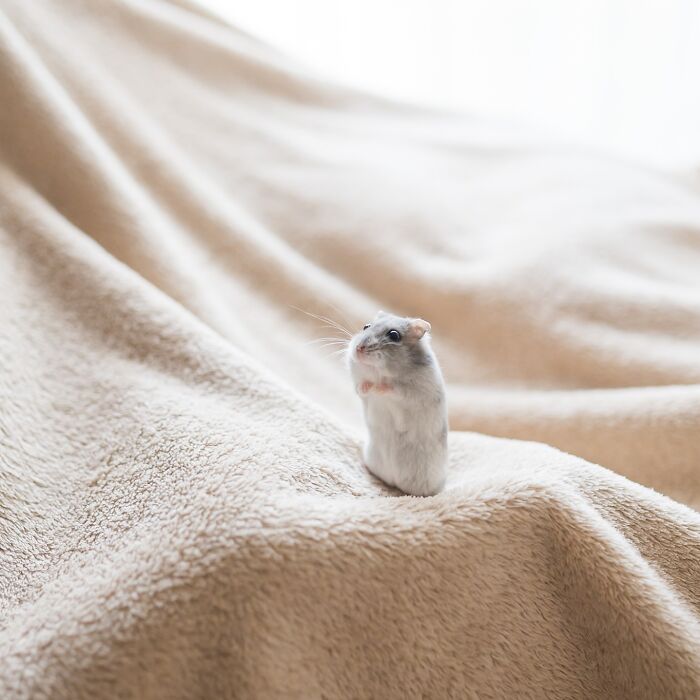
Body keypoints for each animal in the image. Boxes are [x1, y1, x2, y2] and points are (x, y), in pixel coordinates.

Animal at [347, 310, 448, 496]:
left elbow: (394, 388)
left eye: (394, 335)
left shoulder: (412, 391)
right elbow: (361, 388)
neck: (379, 371)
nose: (359, 348)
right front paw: (368, 386)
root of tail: (393, 480)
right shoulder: (356, 378)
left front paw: (378, 387)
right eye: (366, 326)